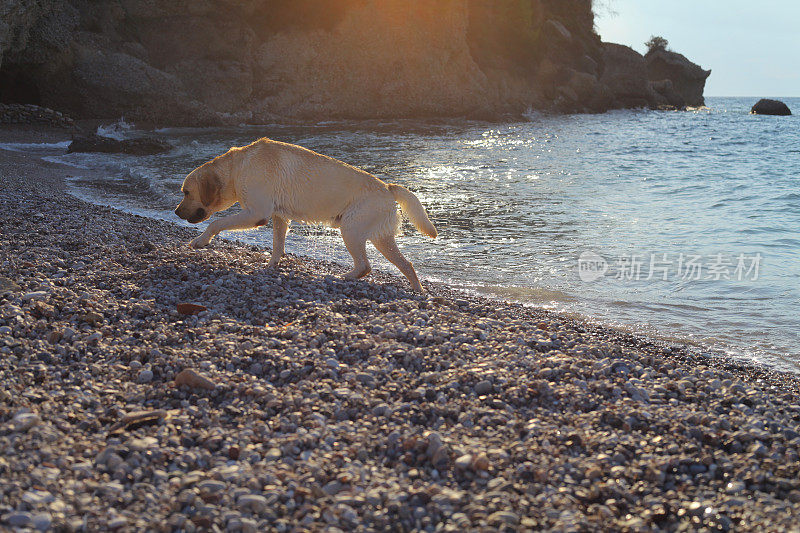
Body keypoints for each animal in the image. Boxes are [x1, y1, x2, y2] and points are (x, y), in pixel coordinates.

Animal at [175, 138, 438, 290]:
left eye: (186, 192)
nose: (176, 212)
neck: (237, 167)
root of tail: (388, 187)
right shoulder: (279, 217)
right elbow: (278, 245)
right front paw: (271, 266)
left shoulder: (256, 213)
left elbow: (215, 223)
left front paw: (200, 241)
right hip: (379, 238)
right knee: (406, 265)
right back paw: (418, 291)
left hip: (351, 230)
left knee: (365, 266)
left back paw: (342, 277)